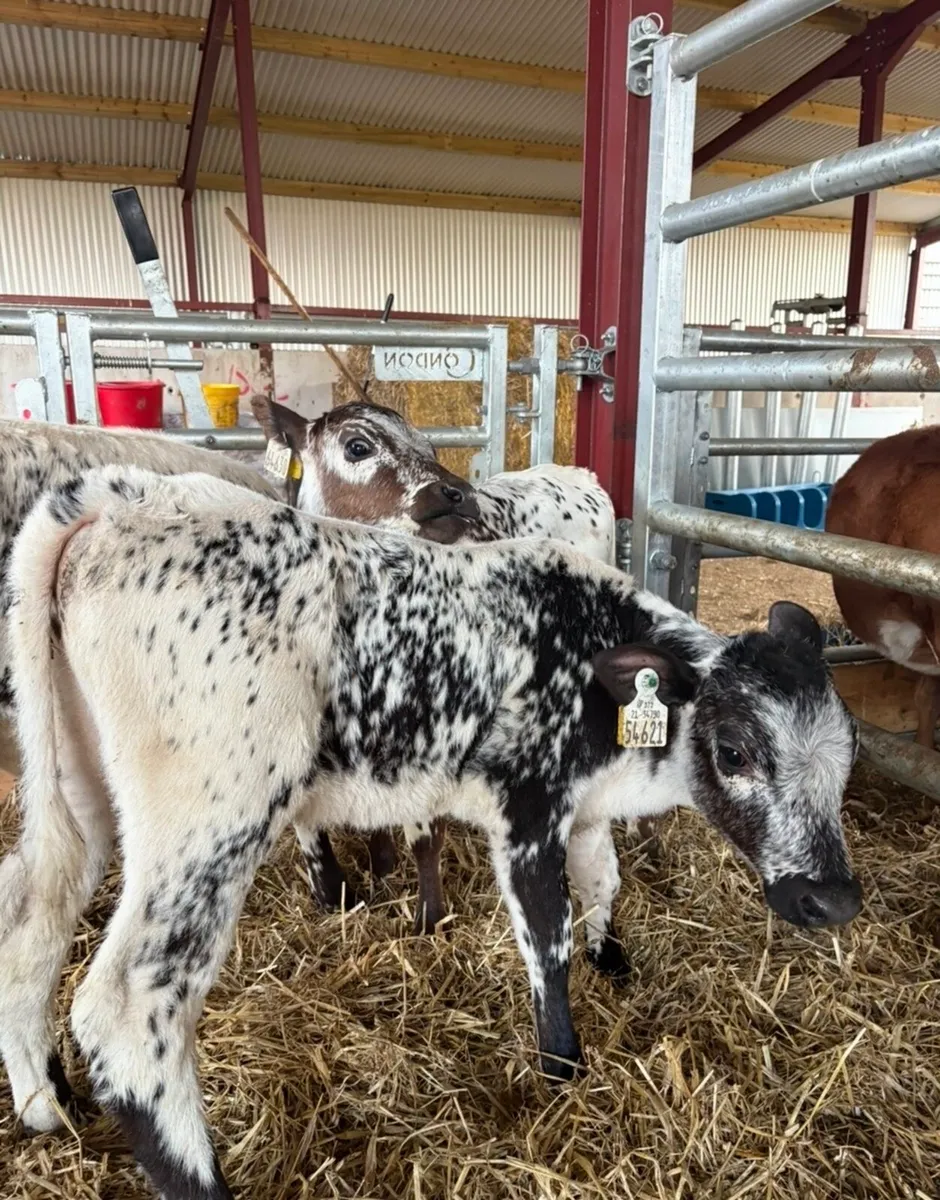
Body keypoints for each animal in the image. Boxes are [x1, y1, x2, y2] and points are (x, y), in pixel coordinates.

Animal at [0, 463, 861, 1200]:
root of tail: (126, 495)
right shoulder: (527, 807)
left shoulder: (582, 808)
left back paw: (45, 1100)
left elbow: (603, 879)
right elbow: (545, 936)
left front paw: (612, 957)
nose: (833, 900)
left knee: (31, 918)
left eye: (850, 748)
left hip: (79, 785)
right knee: (127, 1006)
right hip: (209, 816)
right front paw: (562, 1063)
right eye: (735, 750)